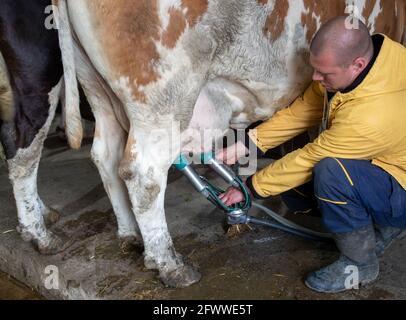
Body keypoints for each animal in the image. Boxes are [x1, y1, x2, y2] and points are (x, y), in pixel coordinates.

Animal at [52, 0, 404, 286]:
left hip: (96, 88)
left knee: (106, 156)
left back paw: (130, 236)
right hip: (161, 97)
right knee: (144, 174)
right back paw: (169, 265)